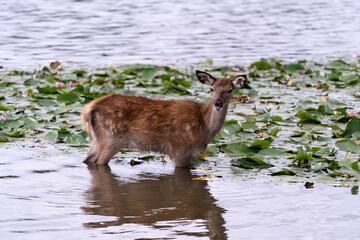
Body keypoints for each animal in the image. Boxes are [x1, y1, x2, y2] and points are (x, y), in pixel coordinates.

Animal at [80, 70, 246, 167]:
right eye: (212, 89)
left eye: (230, 90)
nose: (217, 103)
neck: (203, 129)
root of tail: (88, 109)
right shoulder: (179, 148)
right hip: (111, 138)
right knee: (98, 162)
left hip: (98, 139)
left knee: (88, 159)